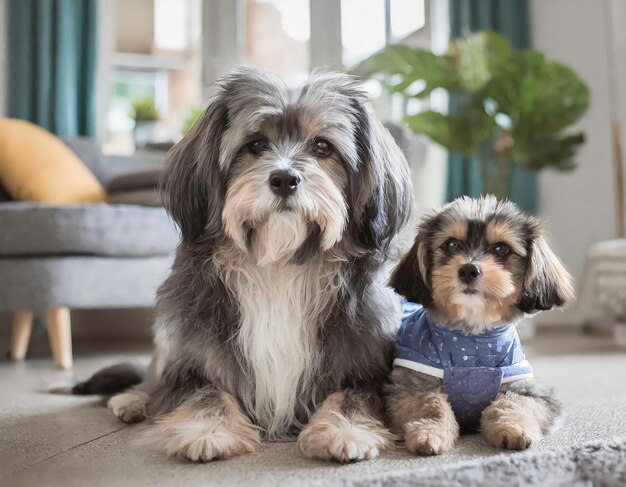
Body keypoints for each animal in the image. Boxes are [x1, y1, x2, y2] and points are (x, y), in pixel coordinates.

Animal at [100, 67, 412, 462]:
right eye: (256, 145)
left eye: (322, 147)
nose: (284, 179)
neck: (279, 263)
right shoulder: (195, 357)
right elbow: (205, 392)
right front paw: (208, 430)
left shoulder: (363, 361)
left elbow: (352, 397)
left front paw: (344, 431)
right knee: (153, 376)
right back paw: (131, 400)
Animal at [388, 196, 572, 456]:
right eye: (451, 245)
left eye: (501, 249)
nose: (468, 269)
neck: (471, 347)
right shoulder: (409, 387)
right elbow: (432, 404)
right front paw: (430, 431)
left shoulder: (531, 392)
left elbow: (512, 403)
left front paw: (514, 428)